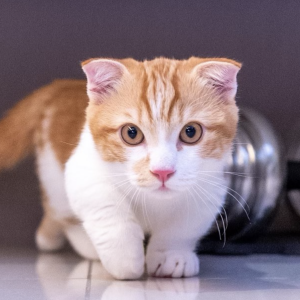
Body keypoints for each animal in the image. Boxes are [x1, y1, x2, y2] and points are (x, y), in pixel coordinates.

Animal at [0, 57, 240, 280]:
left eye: (191, 132)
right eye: (131, 133)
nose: (162, 171)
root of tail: (63, 85)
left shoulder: (211, 184)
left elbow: (184, 225)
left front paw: (172, 255)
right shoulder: (82, 170)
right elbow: (107, 207)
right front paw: (125, 258)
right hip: (54, 180)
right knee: (61, 214)